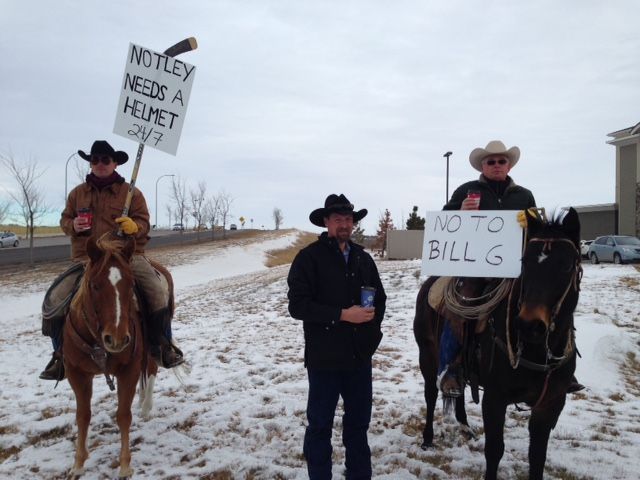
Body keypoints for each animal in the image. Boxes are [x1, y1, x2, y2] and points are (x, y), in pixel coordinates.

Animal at [63, 234, 160, 478]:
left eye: (131, 284)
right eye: (95, 285)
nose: (116, 339)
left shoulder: (129, 370)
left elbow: (123, 415)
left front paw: (125, 465)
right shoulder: (76, 374)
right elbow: (83, 415)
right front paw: (78, 463)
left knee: (152, 370)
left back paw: (146, 407)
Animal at [412, 207, 584, 480]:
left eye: (567, 265)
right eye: (524, 263)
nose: (529, 325)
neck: (537, 351)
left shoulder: (550, 404)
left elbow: (537, 456)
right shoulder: (495, 399)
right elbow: (494, 450)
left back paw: (465, 426)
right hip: (427, 355)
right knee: (430, 394)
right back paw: (428, 439)